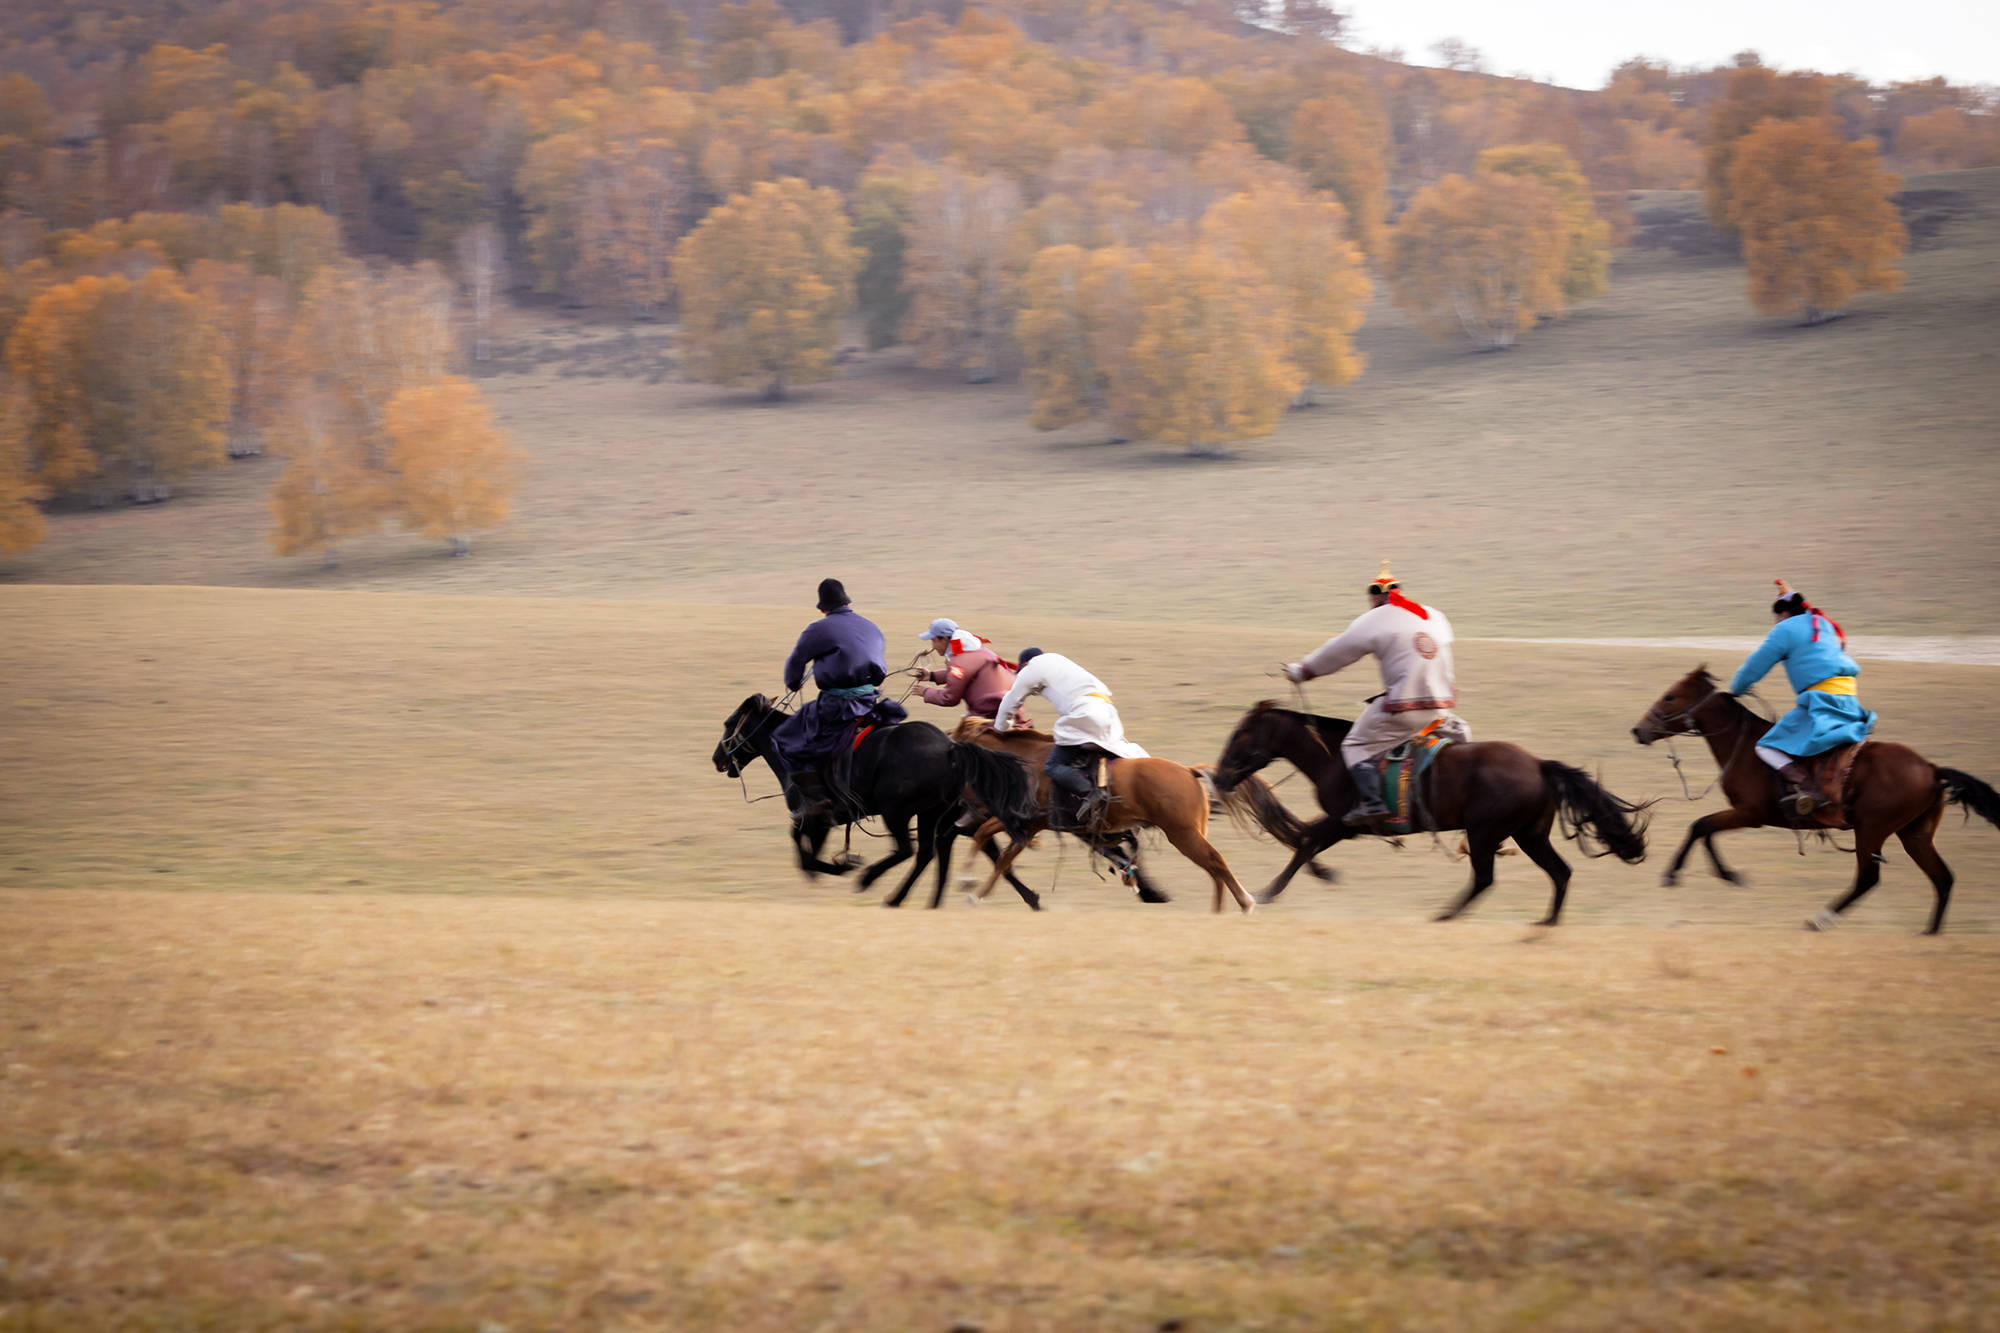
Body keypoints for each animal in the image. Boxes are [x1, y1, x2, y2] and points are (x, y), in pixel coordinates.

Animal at [712, 688, 1040, 908]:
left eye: (729, 724)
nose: (717, 759)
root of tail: (951, 747)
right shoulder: (824, 820)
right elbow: (807, 851)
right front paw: (832, 867)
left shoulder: (813, 815)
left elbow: (803, 850)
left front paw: (843, 867)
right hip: (932, 814)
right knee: (931, 854)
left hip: (898, 812)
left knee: (909, 850)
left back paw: (870, 880)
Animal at [948, 716, 1248, 912]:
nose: (961, 806)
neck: (1029, 763)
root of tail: (1188, 771)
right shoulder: (1026, 825)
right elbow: (995, 850)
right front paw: (973, 889)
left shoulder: (1030, 823)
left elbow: (995, 850)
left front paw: (968, 884)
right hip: (1192, 833)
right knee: (1214, 869)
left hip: (1184, 835)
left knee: (1216, 862)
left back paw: (1245, 903)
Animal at [1208, 696, 1648, 924]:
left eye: (1240, 735)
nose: (1221, 776)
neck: (1334, 756)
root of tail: (1539, 764)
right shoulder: (1341, 824)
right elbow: (1304, 840)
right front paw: (1315, 877)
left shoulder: (1346, 822)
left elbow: (1304, 842)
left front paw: (1267, 893)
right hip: (1529, 835)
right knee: (1560, 872)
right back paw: (1545, 925)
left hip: (1485, 833)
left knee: (1485, 878)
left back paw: (1445, 916)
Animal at [1624, 660, 2000, 928]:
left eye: (1670, 696)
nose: (1638, 729)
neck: (1744, 746)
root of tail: (1931, 768)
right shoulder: (1745, 815)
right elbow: (1703, 829)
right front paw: (1723, 874)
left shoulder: (1750, 814)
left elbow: (1700, 826)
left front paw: (1683, 873)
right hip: (1914, 834)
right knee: (1943, 879)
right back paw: (1928, 934)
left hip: (1872, 829)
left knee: (1868, 878)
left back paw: (1821, 919)